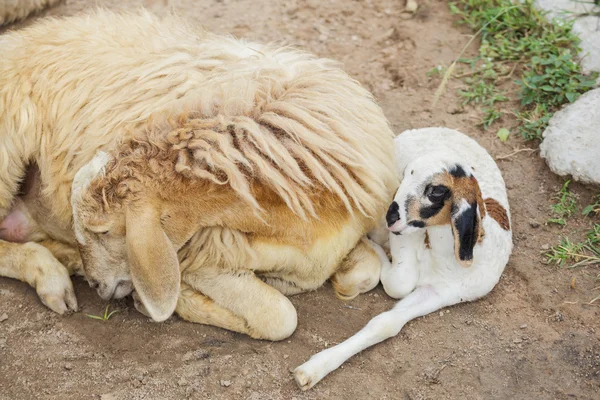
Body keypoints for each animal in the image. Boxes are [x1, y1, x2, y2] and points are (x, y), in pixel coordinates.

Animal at [1, 10, 398, 338]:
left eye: (103, 231)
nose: (99, 287)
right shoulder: (201, 257)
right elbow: (279, 316)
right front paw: (173, 303)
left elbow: (367, 271)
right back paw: (53, 277)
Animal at [292, 128, 512, 390]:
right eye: (408, 173)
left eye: (436, 190)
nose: (390, 215)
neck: (440, 259)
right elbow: (399, 282)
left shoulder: (441, 294)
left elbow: (387, 320)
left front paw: (312, 369)